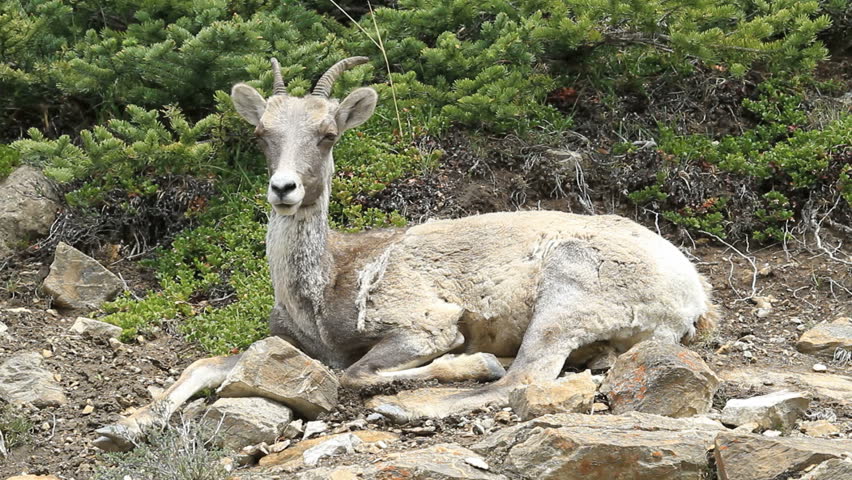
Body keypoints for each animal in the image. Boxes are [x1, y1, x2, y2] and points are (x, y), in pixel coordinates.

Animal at [93, 57, 716, 451]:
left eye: (328, 135)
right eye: (262, 134)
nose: (283, 188)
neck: (319, 292)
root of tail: (692, 294)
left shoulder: (422, 325)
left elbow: (354, 374)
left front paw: (462, 361)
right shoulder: (288, 348)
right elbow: (202, 366)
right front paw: (123, 428)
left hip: (567, 296)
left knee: (519, 379)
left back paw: (416, 401)